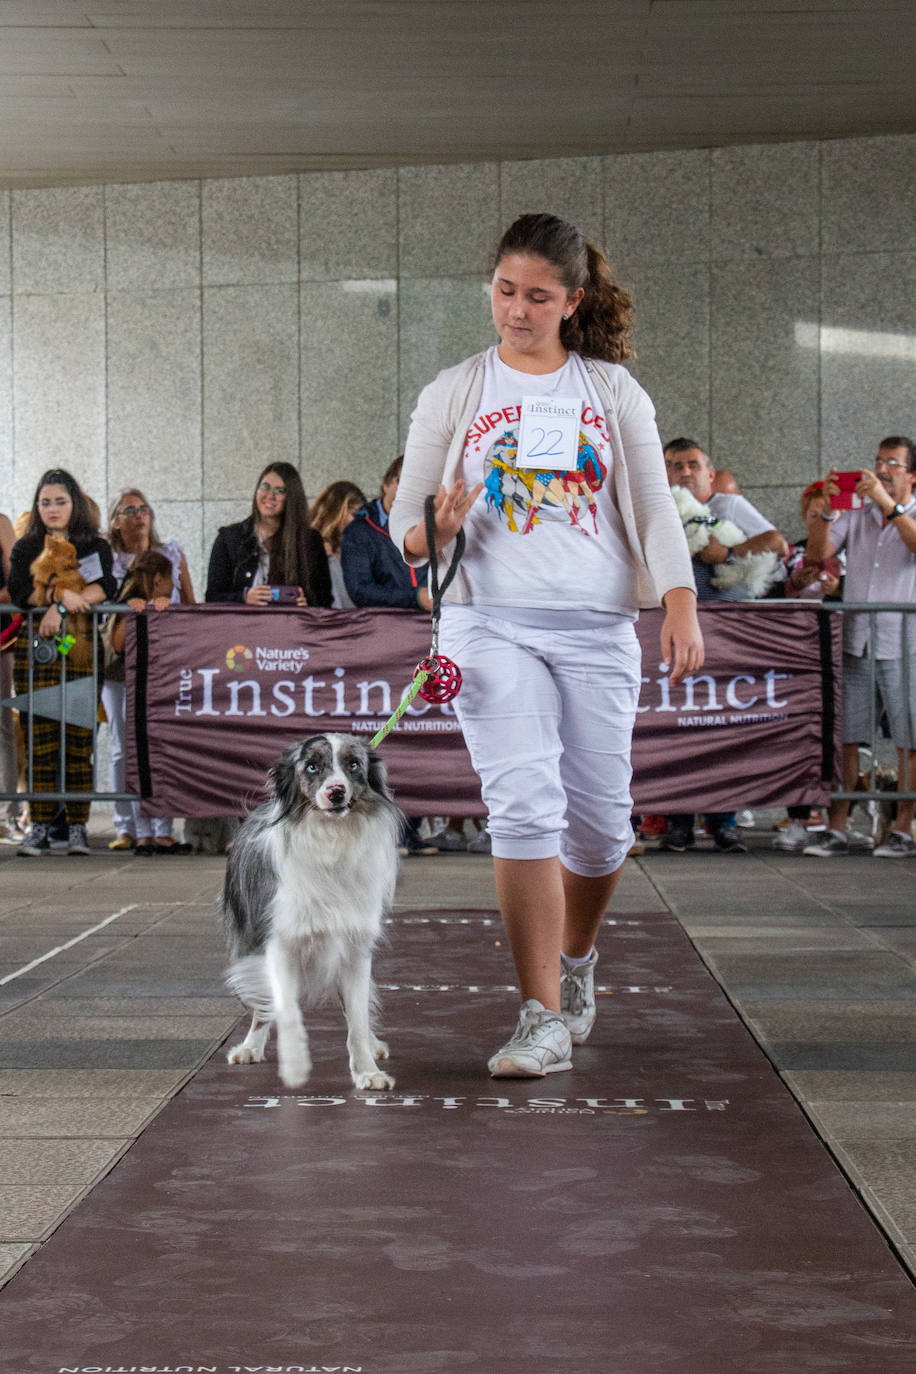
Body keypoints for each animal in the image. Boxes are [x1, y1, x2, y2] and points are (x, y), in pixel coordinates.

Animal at [219, 736, 403, 1088]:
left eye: (354, 764)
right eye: (312, 767)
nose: (336, 792)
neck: (330, 838)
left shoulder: (355, 947)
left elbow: (357, 1018)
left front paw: (367, 1071)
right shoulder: (279, 942)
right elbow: (286, 1009)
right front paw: (294, 1067)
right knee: (262, 1006)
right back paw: (249, 1047)